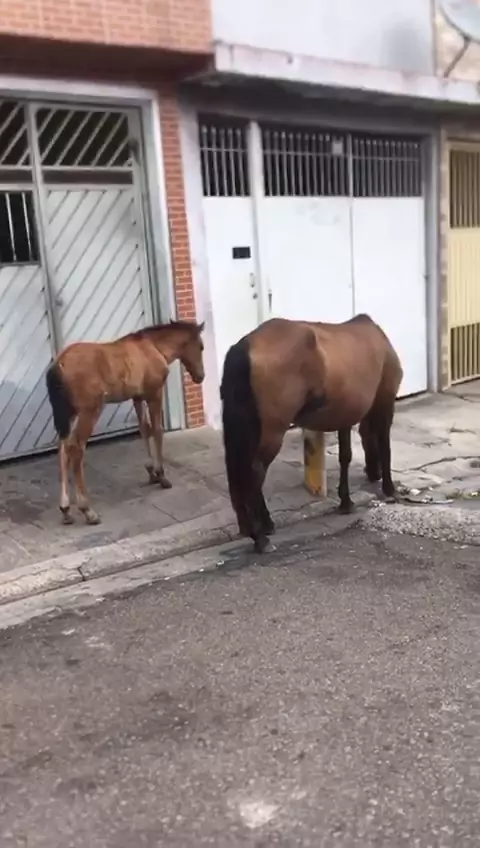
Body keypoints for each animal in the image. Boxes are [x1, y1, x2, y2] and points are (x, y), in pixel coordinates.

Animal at [46, 320, 205, 526]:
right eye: (201, 346)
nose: (200, 376)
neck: (153, 347)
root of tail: (60, 363)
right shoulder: (154, 394)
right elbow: (157, 430)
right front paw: (161, 475)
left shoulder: (137, 397)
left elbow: (144, 429)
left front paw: (151, 472)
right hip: (89, 411)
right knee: (76, 448)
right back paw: (87, 510)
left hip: (69, 413)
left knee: (63, 449)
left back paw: (65, 509)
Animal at [220, 314, 403, 553]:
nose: (374, 473)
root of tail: (245, 345)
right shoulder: (385, 402)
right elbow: (385, 447)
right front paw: (390, 489)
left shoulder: (344, 415)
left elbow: (345, 456)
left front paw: (346, 501)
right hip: (272, 430)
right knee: (255, 472)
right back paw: (259, 537)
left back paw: (260, 526)